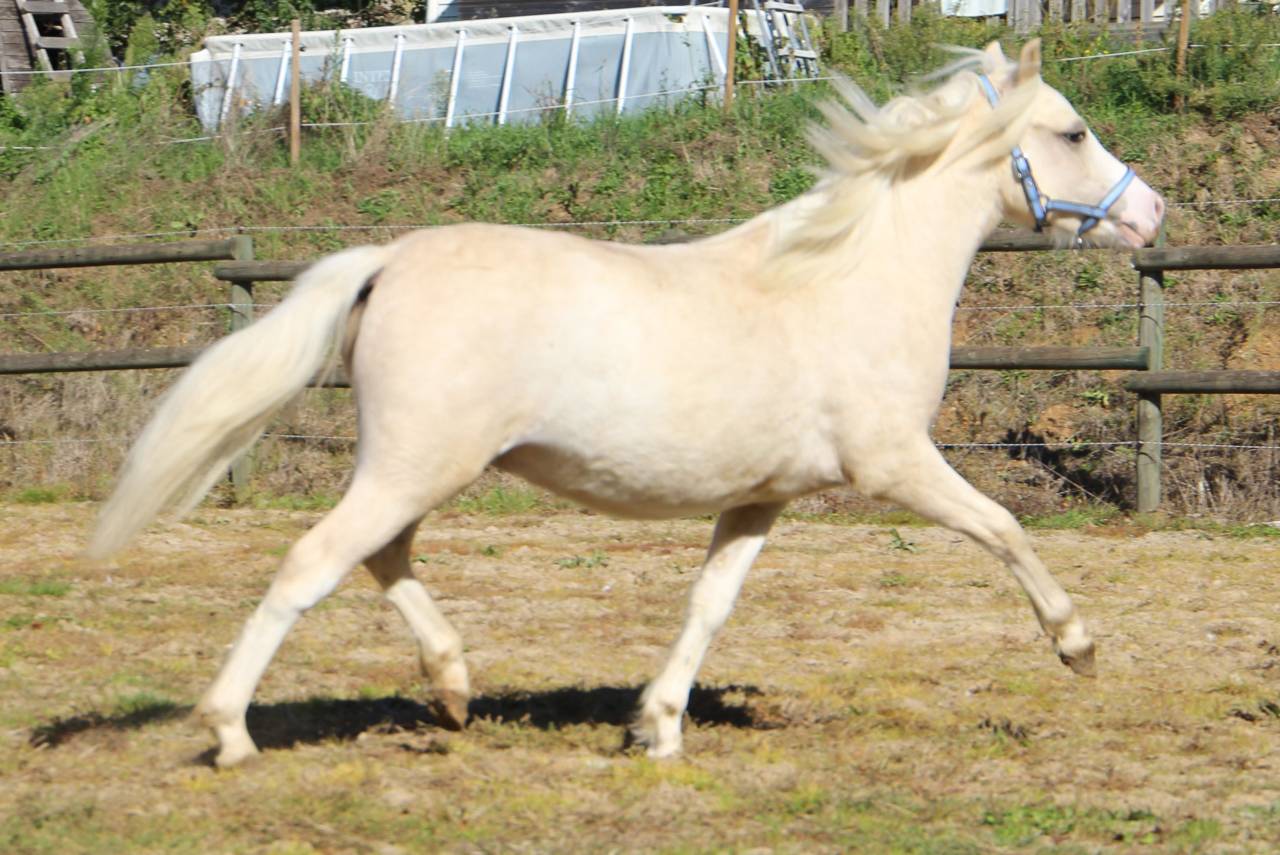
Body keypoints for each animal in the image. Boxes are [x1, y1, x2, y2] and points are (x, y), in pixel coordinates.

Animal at [88, 39, 1165, 767]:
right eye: (1071, 132)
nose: (1151, 213)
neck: (847, 275)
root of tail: (387, 262)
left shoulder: (760, 496)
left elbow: (709, 601)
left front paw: (658, 724)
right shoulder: (894, 461)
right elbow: (1004, 528)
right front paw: (1077, 645)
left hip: (416, 468)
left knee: (381, 559)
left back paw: (452, 690)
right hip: (413, 464)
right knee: (315, 561)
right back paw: (231, 731)